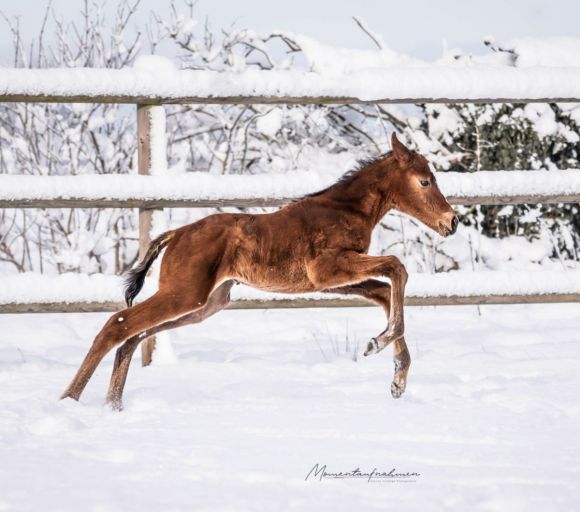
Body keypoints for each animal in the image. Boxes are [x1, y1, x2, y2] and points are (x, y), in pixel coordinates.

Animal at [60, 134, 458, 410]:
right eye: (424, 181)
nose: (451, 222)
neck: (347, 209)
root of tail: (178, 233)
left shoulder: (334, 281)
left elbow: (384, 291)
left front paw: (397, 378)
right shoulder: (326, 270)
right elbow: (397, 268)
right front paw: (379, 343)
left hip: (206, 304)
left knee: (134, 336)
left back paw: (113, 405)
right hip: (184, 294)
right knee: (119, 324)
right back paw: (68, 400)